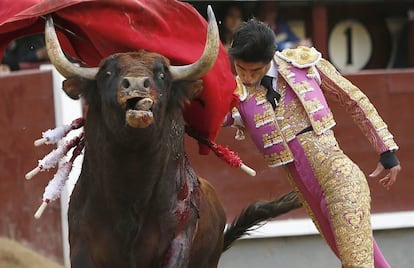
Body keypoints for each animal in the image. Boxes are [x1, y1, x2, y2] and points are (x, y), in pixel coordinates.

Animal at [43, 6, 300, 268]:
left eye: (161, 75)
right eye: (107, 72)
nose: (137, 84)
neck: (131, 186)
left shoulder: (176, 240)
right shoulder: (82, 246)